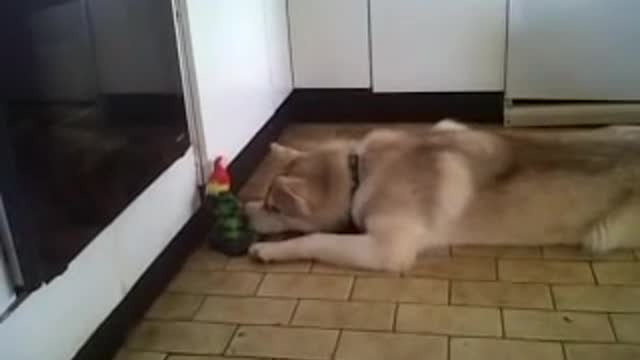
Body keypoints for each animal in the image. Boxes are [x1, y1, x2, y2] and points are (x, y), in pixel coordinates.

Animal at [245, 119, 640, 272]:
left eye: (273, 206)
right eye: (263, 198)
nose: (243, 211)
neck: (361, 170)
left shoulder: (388, 249)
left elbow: (314, 239)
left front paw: (269, 250)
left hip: (606, 233)